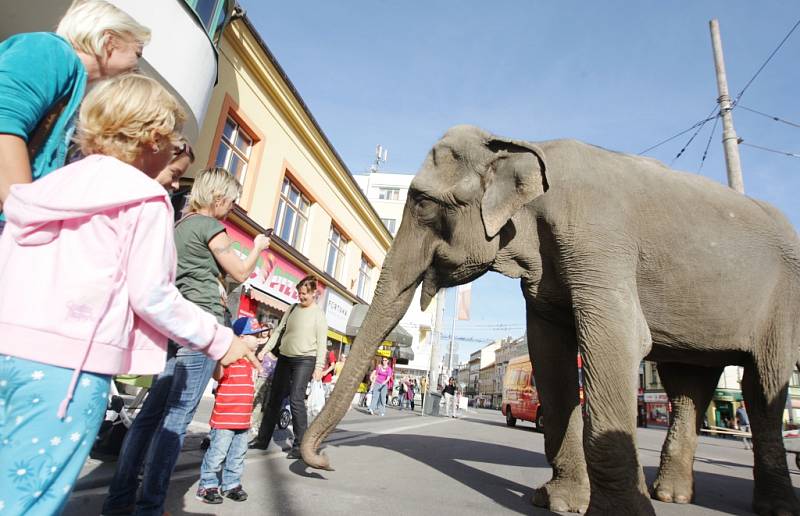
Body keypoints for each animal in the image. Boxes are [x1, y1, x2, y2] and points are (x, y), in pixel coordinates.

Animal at [302, 125, 800, 516]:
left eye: (423, 204)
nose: (324, 462)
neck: (523, 146)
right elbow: (549, 353)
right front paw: (558, 502)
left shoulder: (598, 240)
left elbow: (617, 340)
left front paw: (614, 513)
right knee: (688, 387)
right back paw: (673, 495)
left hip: (783, 300)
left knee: (762, 384)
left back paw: (773, 507)